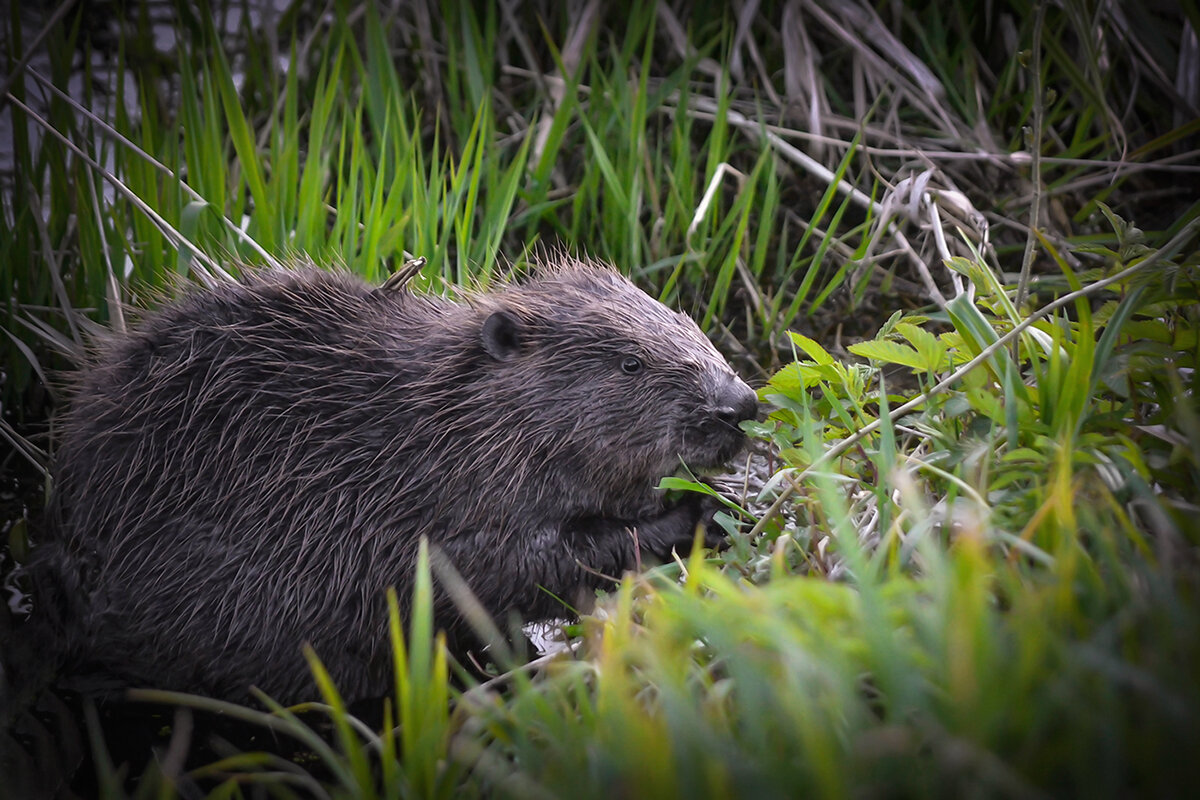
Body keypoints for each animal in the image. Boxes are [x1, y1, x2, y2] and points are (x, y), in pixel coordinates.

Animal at [32, 256, 753, 700]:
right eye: (630, 363)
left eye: (688, 321)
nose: (739, 405)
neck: (438, 424)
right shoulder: (433, 507)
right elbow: (508, 569)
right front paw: (697, 514)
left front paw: (726, 498)